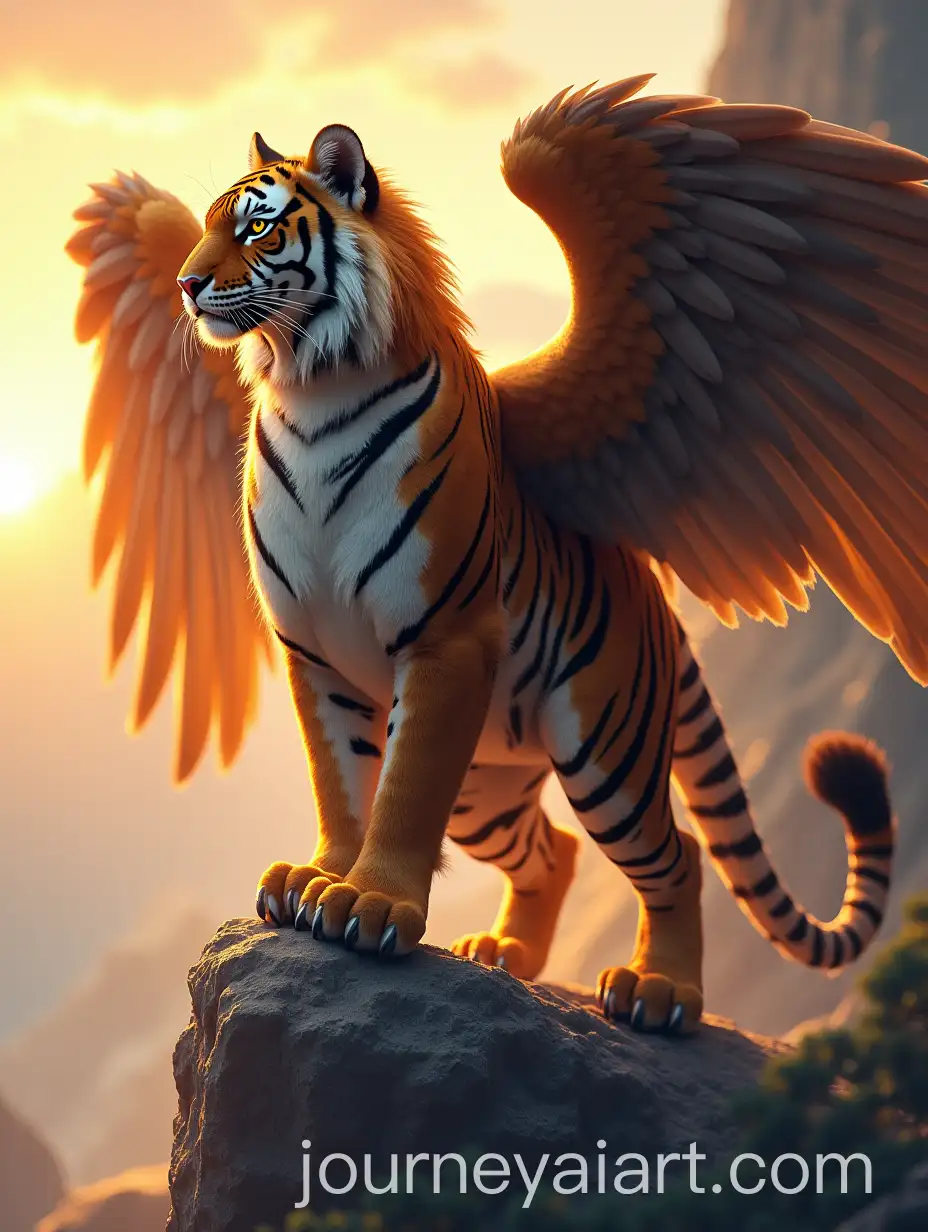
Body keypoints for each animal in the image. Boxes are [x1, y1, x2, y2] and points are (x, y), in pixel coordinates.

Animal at [70, 78, 928, 1034]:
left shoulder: (446, 642)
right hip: (488, 784)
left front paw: (369, 904)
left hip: (603, 747)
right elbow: (340, 777)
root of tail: (654, 594)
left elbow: (404, 790)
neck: (310, 387)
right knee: (551, 849)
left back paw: (662, 993)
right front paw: (319, 877)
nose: (183, 284)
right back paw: (507, 952)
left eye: (256, 228)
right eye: (207, 226)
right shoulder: (313, 654)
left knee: (675, 854)